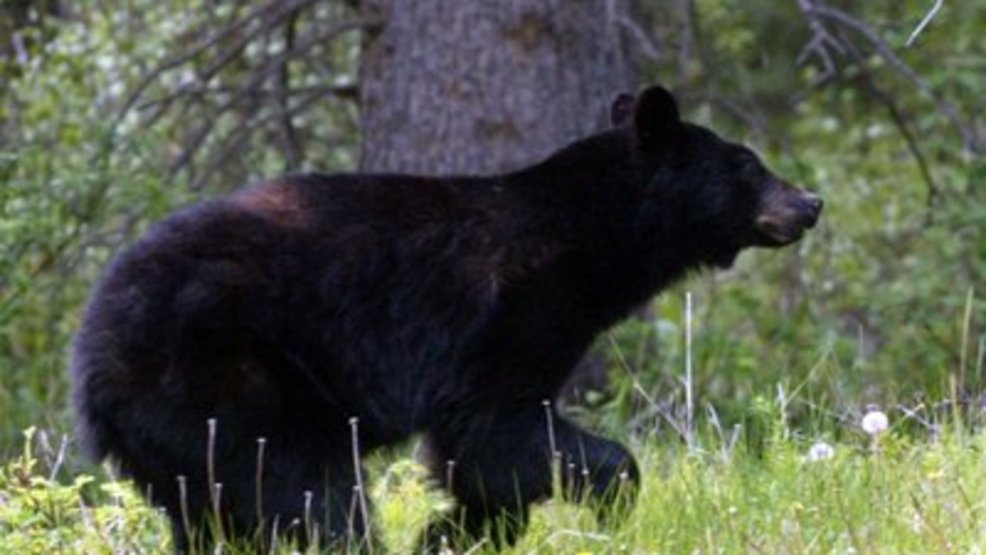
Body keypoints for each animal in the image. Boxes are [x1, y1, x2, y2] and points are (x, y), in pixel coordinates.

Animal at [71, 85, 822, 553]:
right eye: (748, 164)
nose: (811, 202)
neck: (584, 238)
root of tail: (90, 357)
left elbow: (479, 463)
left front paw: (451, 533)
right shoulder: (503, 318)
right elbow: (494, 432)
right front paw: (608, 496)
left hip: (172, 440)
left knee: (207, 515)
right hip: (233, 381)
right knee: (308, 496)